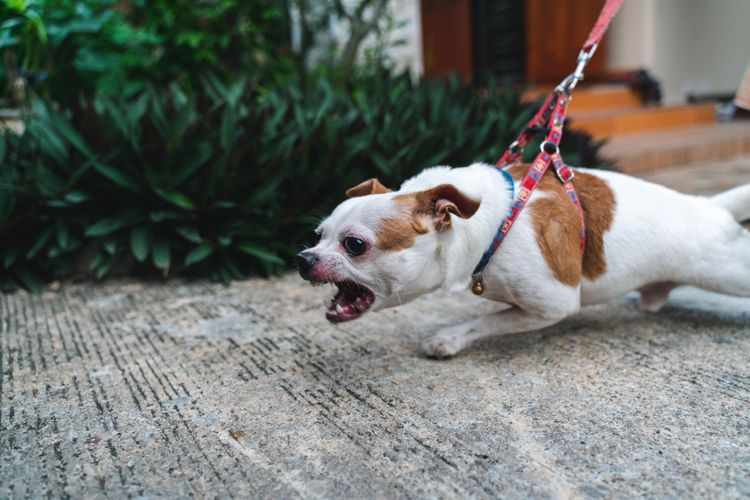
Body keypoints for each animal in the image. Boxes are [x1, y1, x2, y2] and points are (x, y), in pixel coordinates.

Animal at [298, 162, 750, 358]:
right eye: (318, 236)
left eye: (355, 245)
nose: (303, 258)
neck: (491, 224)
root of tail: (710, 205)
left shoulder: (554, 303)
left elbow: (486, 320)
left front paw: (449, 339)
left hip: (727, 271)